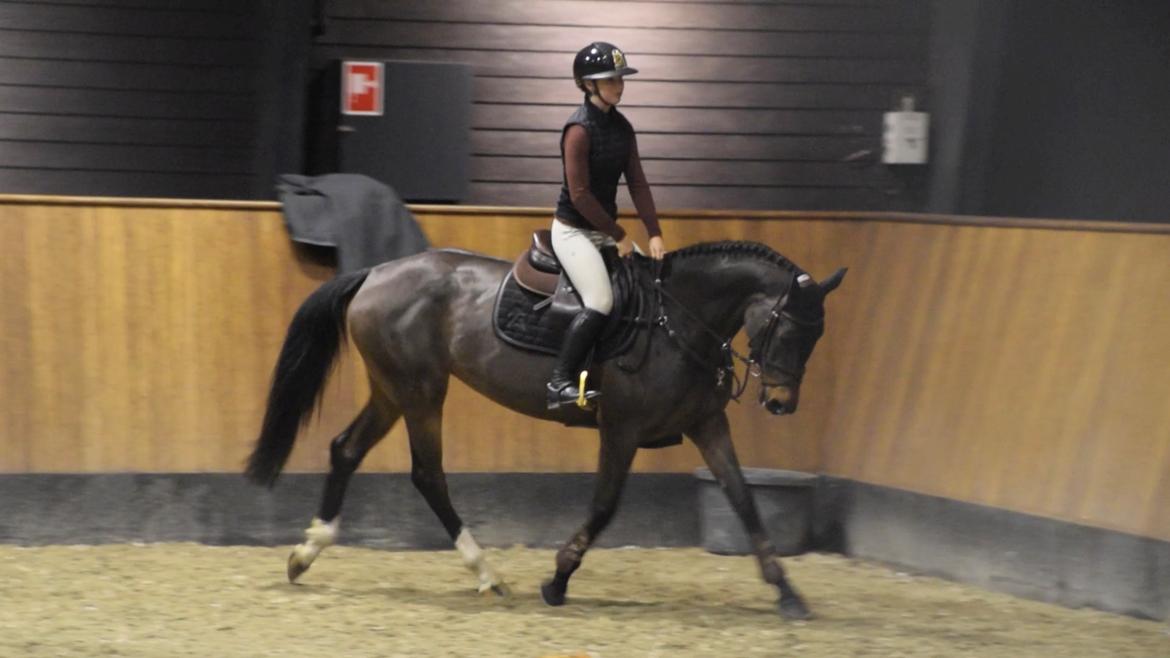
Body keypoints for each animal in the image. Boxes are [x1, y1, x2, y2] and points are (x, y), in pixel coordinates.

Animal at [245, 240, 845, 620]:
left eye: (817, 335)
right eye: (788, 328)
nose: (780, 403)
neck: (677, 322)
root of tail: (376, 272)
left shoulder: (707, 423)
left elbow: (745, 501)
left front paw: (788, 594)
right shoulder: (621, 428)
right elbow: (604, 507)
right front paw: (556, 581)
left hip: (393, 390)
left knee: (346, 450)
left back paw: (306, 552)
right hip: (420, 392)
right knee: (427, 474)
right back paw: (486, 573)